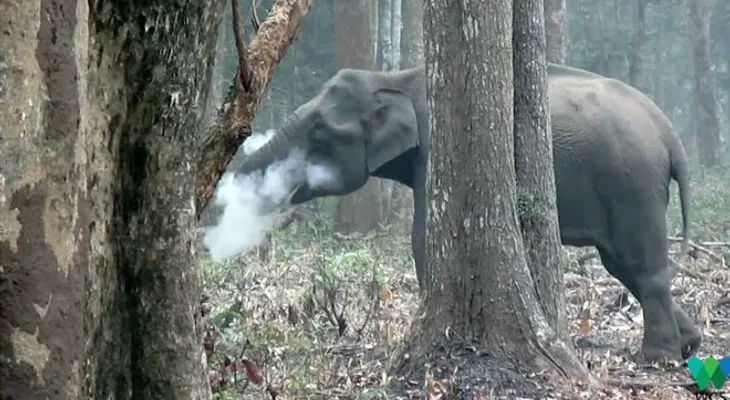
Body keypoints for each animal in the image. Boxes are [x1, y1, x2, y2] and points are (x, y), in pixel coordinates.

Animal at [232, 63, 701, 364]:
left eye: (319, 131)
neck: (394, 78)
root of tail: (670, 133)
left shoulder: (436, 149)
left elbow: (423, 238)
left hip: (632, 183)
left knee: (641, 266)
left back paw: (655, 359)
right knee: (624, 266)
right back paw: (690, 346)